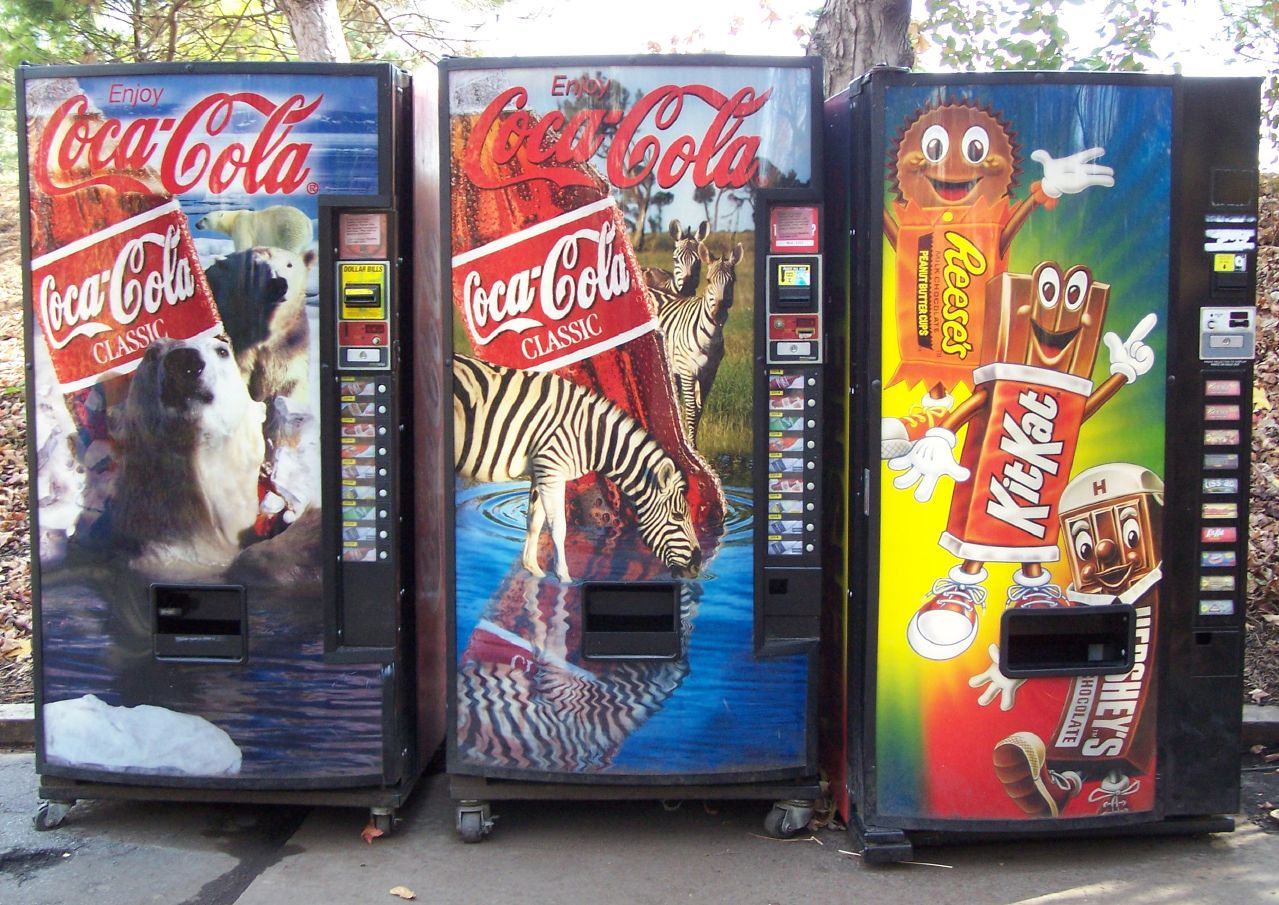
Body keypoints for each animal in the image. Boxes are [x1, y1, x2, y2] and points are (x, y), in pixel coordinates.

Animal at [455, 352, 706, 580]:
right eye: (677, 516)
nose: (697, 567)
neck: (589, 435)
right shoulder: (551, 469)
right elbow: (558, 527)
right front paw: (564, 579)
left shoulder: (540, 471)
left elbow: (534, 521)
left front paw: (534, 571)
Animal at [654, 241, 746, 447]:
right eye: (709, 280)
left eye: (733, 281)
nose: (718, 315)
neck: (709, 339)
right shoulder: (688, 371)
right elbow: (690, 409)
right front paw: (691, 447)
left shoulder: (709, 374)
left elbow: (699, 409)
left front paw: (692, 444)